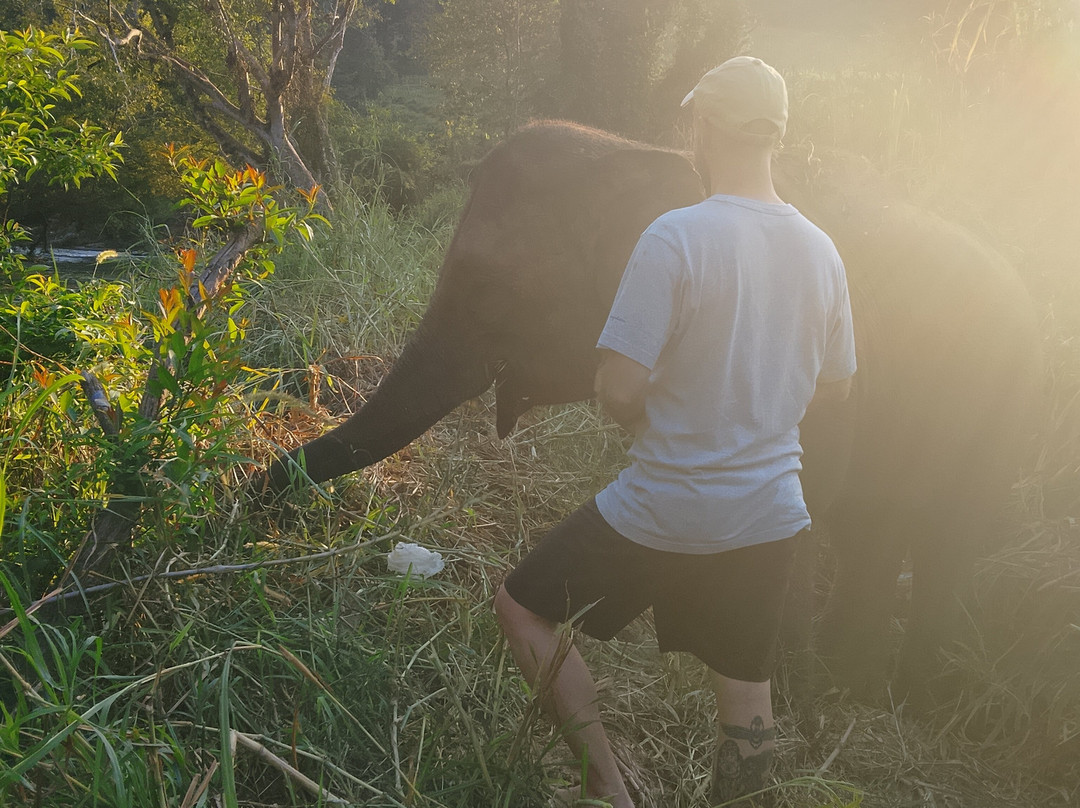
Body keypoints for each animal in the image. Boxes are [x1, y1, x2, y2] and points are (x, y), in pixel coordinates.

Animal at [262, 121, 1043, 705]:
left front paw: (771, 684)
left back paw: (898, 697)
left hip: (1000, 411)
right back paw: (855, 688)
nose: (258, 493)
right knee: (874, 537)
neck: (650, 153)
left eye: (500, 290)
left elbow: (801, 503)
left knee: (941, 542)